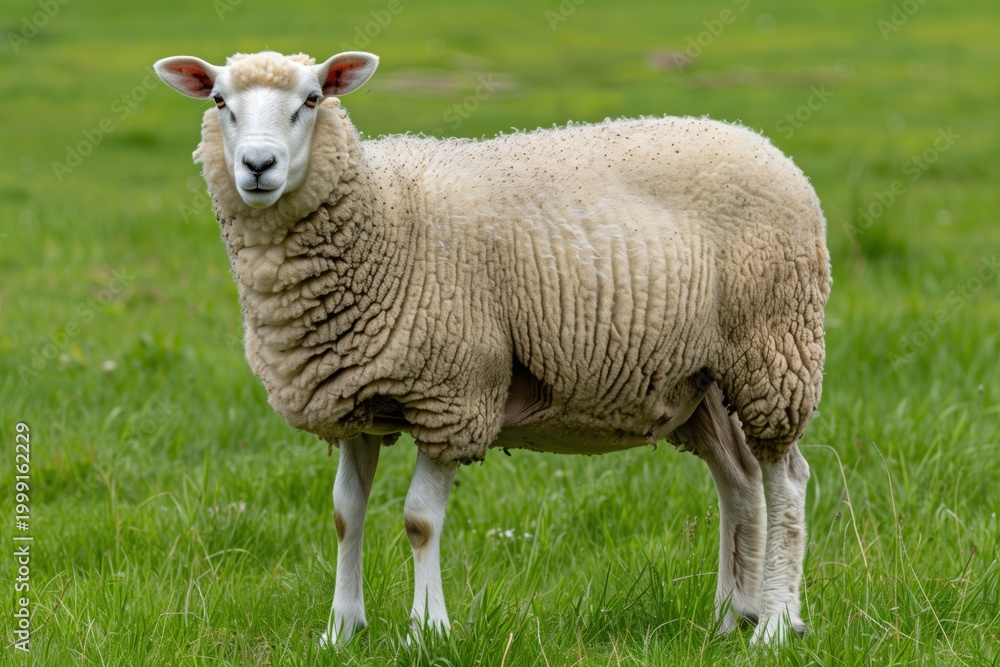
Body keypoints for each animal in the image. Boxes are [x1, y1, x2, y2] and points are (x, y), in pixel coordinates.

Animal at [154, 50, 831, 646]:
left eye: (313, 100)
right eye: (220, 102)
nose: (258, 165)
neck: (381, 213)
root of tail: (760, 142)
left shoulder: (455, 395)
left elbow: (420, 520)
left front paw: (427, 631)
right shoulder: (353, 399)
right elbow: (346, 513)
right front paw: (340, 631)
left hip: (775, 349)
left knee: (786, 481)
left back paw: (775, 626)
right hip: (702, 383)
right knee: (739, 482)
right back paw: (731, 618)